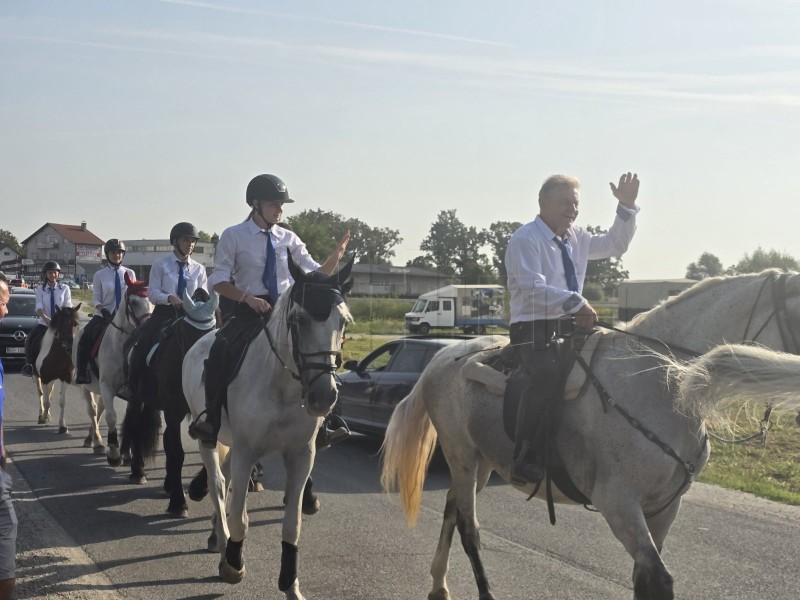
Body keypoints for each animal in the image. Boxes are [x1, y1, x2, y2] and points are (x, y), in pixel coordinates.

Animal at [73, 274, 153, 466]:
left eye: (152, 300)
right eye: (133, 302)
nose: (148, 327)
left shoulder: (132, 392)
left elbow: (130, 420)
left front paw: (127, 454)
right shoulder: (107, 386)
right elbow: (112, 417)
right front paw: (115, 453)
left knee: (99, 409)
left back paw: (92, 439)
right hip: (85, 387)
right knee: (93, 411)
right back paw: (97, 442)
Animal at [184, 258, 354, 600]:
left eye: (343, 321)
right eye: (298, 319)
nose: (323, 397)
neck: (283, 386)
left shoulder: (302, 455)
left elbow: (292, 525)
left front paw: (290, 584)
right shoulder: (246, 451)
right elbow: (239, 518)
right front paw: (233, 565)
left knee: (227, 482)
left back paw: (216, 536)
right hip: (209, 438)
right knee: (218, 485)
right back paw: (223, 541)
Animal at [380, 270, 800, 600]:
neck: (660, 385)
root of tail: (438, 359)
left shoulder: (665, 507)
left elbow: (643, 580)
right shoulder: (618, 503)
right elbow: (658, 581)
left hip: (482, 463)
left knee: (452, 508)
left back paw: (439, 584)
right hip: (462, 455)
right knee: (470, 529)